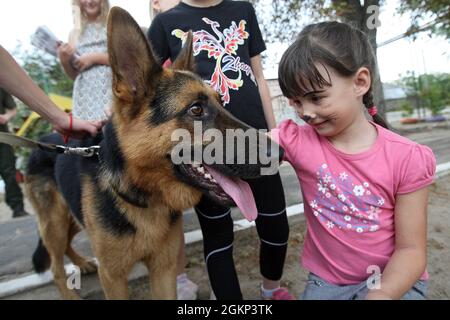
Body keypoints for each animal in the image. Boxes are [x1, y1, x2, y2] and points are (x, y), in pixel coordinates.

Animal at [25, 6, 282, 300]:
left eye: (221, 102)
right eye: (196, 109)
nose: (281, 153)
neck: (144, 195)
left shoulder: (163, 269)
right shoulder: (113, 277)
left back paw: (82, 262)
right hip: (54, 224)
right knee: (55, 267)